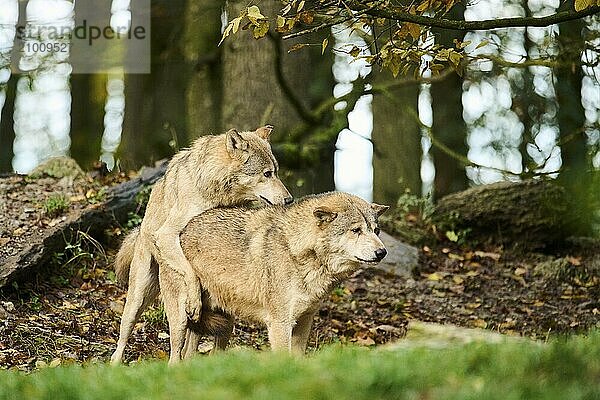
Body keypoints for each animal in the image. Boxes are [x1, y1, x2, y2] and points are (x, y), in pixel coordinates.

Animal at [111, 126, 294, 364]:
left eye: (276, 172)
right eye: (267, 174)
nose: (289, 199)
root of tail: (140, 229)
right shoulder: (166, 235)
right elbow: (190, 273)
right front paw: (194, 299)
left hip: (225, 319)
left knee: (195, 347)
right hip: (139, 300)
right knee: (130, 339)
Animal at [159, 191, 390, 362]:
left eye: (376, 230)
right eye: (356, 230)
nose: (382, 252)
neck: (296, 249)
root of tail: (181, 231)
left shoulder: (305, 321)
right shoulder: (280, 324)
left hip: (223, 325)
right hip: (182, 321)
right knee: (174, 358)